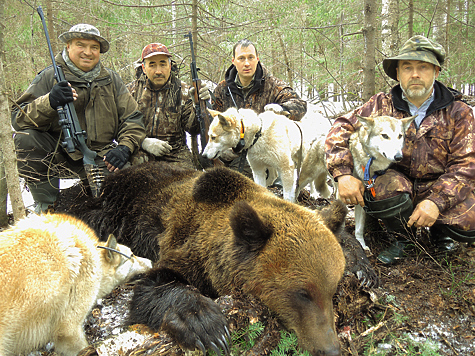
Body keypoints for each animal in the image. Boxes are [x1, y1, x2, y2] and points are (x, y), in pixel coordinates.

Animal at [56, 162, 346, 356]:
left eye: (331, 290)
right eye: (303, 293)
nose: (331, 348)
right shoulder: (187, 246)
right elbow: (155, 285)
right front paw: (206, 325)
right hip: (110, 210)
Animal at [300, 114, 414, 250]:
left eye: (400, 136)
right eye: (385, 136)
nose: (399, 157)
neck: (368, 164)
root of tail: (320, 137)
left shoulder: (361, 201)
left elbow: (359, 229)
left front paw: (362, 245)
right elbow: (342, 220)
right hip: (306, 177)